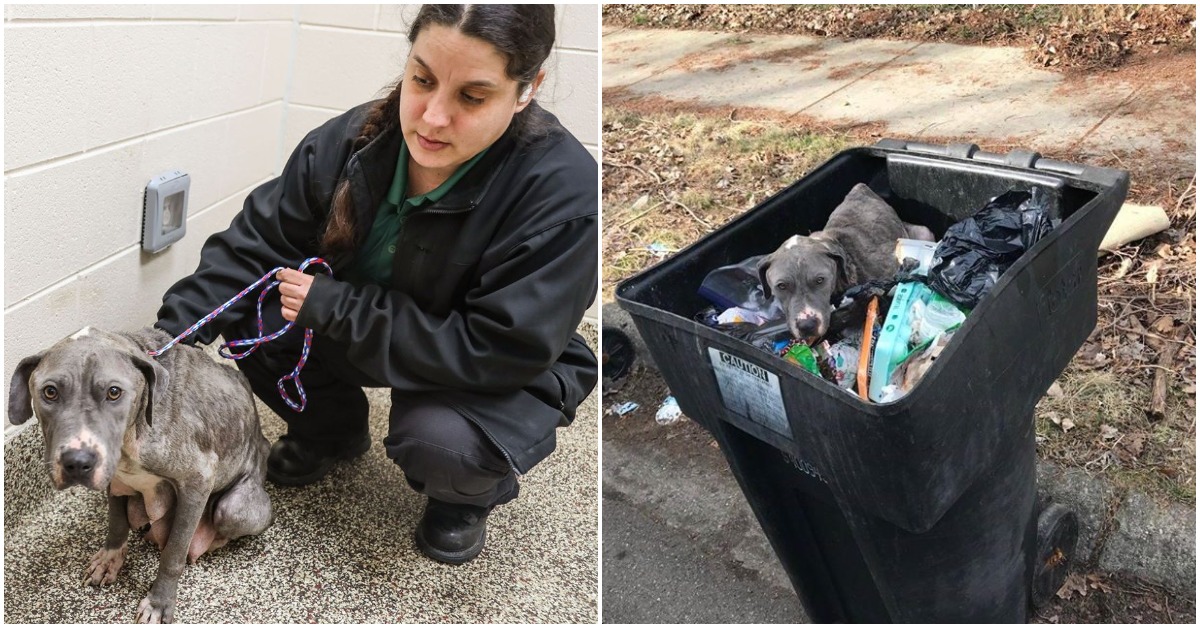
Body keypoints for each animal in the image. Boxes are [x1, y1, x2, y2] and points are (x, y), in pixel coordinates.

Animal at [8, 326, 274, 624]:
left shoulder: (198, 481)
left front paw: (159, 603)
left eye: (114, 392)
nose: (77, 463)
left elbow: (173, 554)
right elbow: (116, 523)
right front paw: (110, 560)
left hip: (233, 510)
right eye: (50, 392)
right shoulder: (115, 481)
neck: (131, 434)